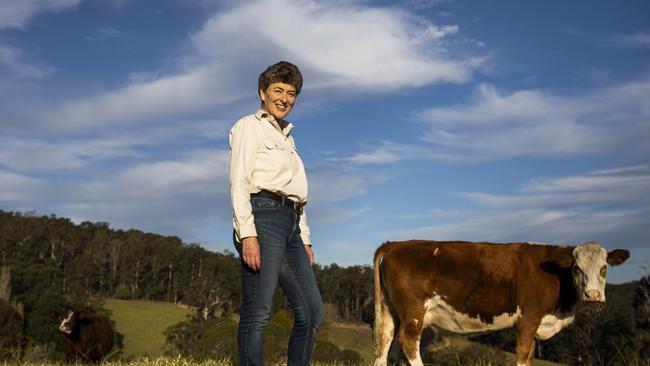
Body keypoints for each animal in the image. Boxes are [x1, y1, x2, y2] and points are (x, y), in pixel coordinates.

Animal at [372, 240, 624, 366]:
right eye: (576, 268)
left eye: (604, 268)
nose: (593, 295)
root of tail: (396, 244)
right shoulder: (528, 318)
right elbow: (522, 355)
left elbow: (530, 356)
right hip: (413, 312)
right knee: (408, 342)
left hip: (392, 312)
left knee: (385, 345)